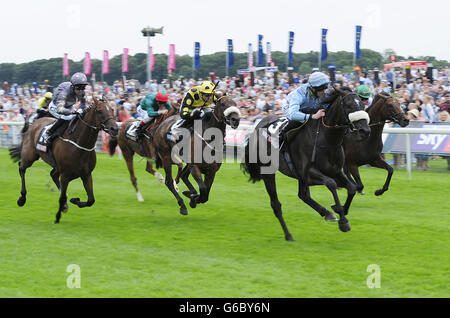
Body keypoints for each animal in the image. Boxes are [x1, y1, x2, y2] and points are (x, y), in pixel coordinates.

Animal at [243, 87, 370, 241]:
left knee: (303, 195)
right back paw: (288, 235)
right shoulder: (308, 174)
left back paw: (326, 213)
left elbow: (351, 187)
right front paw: (343, 221)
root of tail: (257, 128)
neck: (326, 139)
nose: (365, 131)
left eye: (363, 105)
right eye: (349, 105)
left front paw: (340, 211)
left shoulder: (334, 171)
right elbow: (331, 184)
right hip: (268, 172)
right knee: (276, 205)